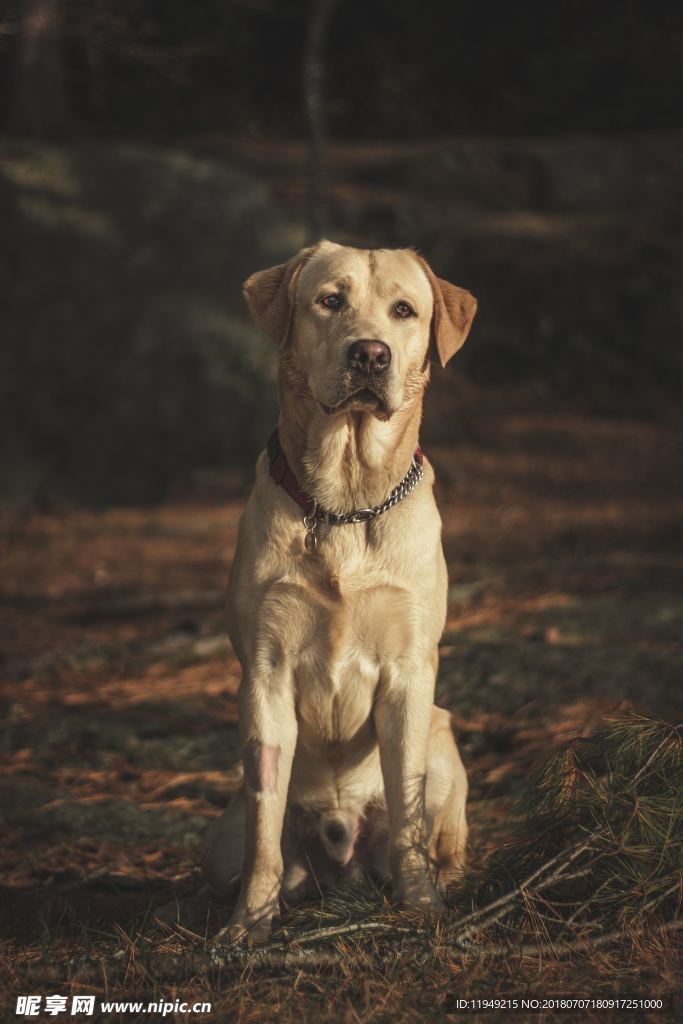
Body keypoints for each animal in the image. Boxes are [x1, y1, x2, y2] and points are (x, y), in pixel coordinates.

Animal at [205, 239, 479, 942]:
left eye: (404, 311)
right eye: (330, 300)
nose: (370, 354)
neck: (347, 503)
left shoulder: (409, 673)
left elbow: (408, 817)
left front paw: (421, 907)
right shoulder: (265, 673)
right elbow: (265, 831)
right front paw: (249, 927)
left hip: (444, 743)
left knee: (439, 837)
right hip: (221, 833)